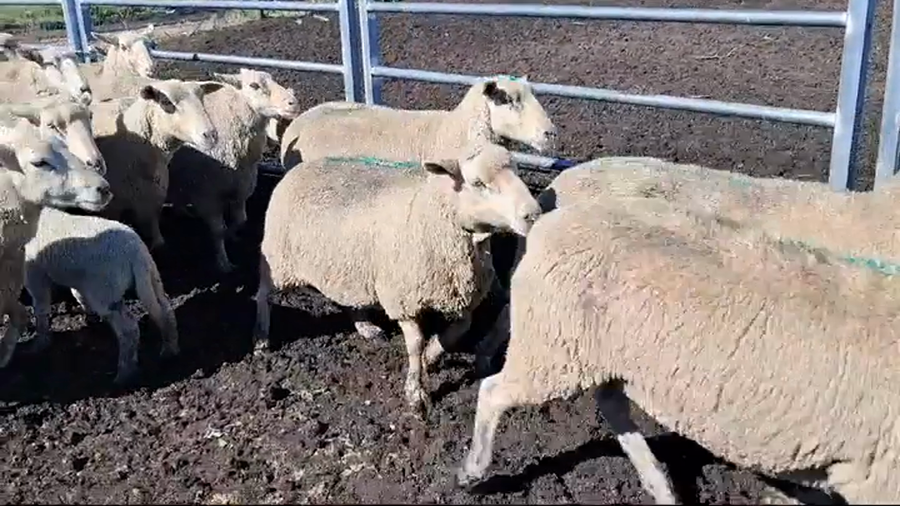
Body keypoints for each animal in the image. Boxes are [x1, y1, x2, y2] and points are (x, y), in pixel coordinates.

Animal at [23, 206, 178, 386]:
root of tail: (136, 252)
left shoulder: (34, 271)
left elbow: (40, 304)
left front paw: (40, 343)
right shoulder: (80, 280)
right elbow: (78, 295)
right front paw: (89, 317)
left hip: (105, 288)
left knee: (129, 329)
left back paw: (125, 373)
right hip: (150, 277)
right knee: (164, 310)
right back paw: (169, 350)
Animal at [89, 78, 225, 251]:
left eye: (202, 99)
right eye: (166, 102)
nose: (211, 135)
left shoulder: (153, 203)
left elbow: (158, 239)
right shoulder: (112, 208)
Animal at [166, 68, 301, 273]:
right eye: (254, 85)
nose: (293, 103)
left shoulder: (241, 188)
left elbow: (241, 220)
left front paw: (232, 235)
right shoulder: (206, 195)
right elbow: (218, 230)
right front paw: (223, 263)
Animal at [253, 143, 542, 416]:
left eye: (517, 172)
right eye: (478, 183)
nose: (533, 214)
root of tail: (299, 168)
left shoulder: (460, 296)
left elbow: (458, 331)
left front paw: (431, 356)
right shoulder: (403, 299)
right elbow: (414, 345)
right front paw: (416, 394)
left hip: (348, 268)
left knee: (349, 300)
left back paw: (365, 327)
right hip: (279, 259)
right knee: (263, 293)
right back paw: (261, 337)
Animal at [455, 196, 900, 504]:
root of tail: (550, 221)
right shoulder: (878, 479)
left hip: (596, 356)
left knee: (612, 405)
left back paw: (660, 484)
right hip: (554, 350)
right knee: (494, 391)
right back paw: (472, 471)